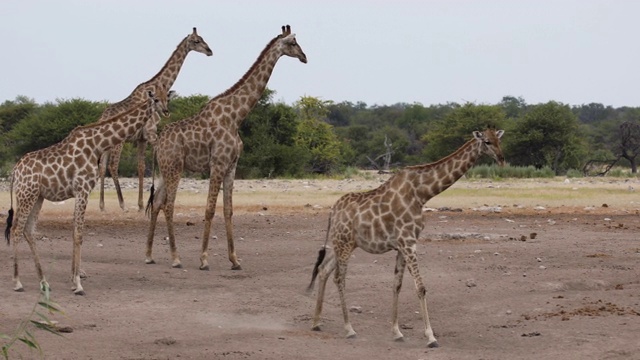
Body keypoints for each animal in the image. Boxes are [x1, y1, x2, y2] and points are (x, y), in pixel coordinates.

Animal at [4, 88, 170, 296]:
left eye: (167, 97)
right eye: (156, 99)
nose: (166, 111)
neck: (96, 144)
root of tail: (15, 172)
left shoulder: (81, 191)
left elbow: (75, 230)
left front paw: (74, 280)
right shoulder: (82, 189)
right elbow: (79, 234)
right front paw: (78, 284)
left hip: (37, 197)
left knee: (28, 230)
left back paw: (44, 282)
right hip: (26, 195)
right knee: (17, 229)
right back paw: (18, 282)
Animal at [97, 28, 212, 214]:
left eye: (202, 38)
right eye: (196, 41)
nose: (210, 51)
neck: (159, 85)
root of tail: (102, 118)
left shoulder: (142, 138)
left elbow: (141, 167)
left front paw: (140, 204)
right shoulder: (151, 133)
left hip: (107, 144)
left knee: (102, 166)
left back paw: (102, 205)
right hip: (118, 142)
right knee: (112, 166)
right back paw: (122, 204)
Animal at [145, 24, 304, 270]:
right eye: (293, 43)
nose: (305, 57)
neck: (236, 117)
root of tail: (158, 142)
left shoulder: (232, 166)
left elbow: (228, 210)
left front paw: (235, 260)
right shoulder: (218, 164)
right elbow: (210, 209)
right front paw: (203, 259)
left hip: (164, 170)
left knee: (157, 203)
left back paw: (149, 255)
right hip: (175, 168)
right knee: (169, 205)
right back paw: (175, 258)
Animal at [306, 128, 504, 348]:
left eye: (499, 140)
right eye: (487, 142)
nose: (501, 159)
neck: (422, 194)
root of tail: (332, 212)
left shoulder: (402, 244)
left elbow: (397, 285)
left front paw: (397, 332)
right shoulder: (408, 241)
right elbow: (421, 287)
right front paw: (430, 337)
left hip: (342, 244)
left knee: (323, 269)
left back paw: (316, 322)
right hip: (345, 244)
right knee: (339, 278)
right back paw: (349, 329)